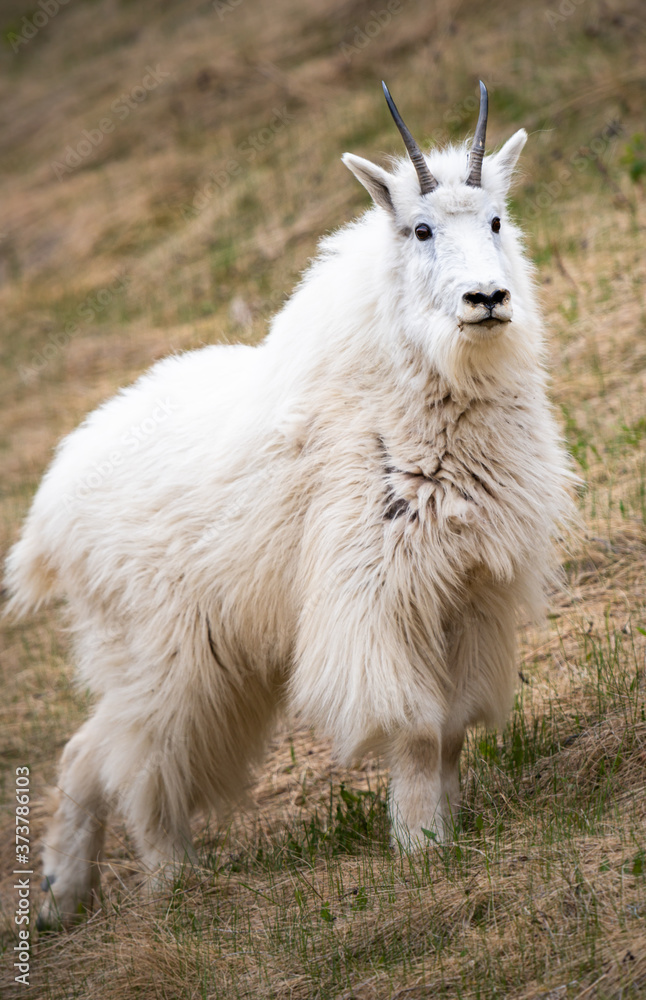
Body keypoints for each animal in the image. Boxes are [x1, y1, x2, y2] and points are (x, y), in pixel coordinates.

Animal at [5, 81, 573, 928]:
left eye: (498, 220)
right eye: (421, 227)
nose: (488, 299)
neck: (425, 393)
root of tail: (50, 508)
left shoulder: (467, 594)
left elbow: (451, 727)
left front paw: (445, 829)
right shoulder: (376, 593)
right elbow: (415, 725)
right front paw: (420, 849)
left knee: (90, 749)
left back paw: (60, 899)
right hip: (161, 652)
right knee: (137, 759)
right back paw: (173, 883)